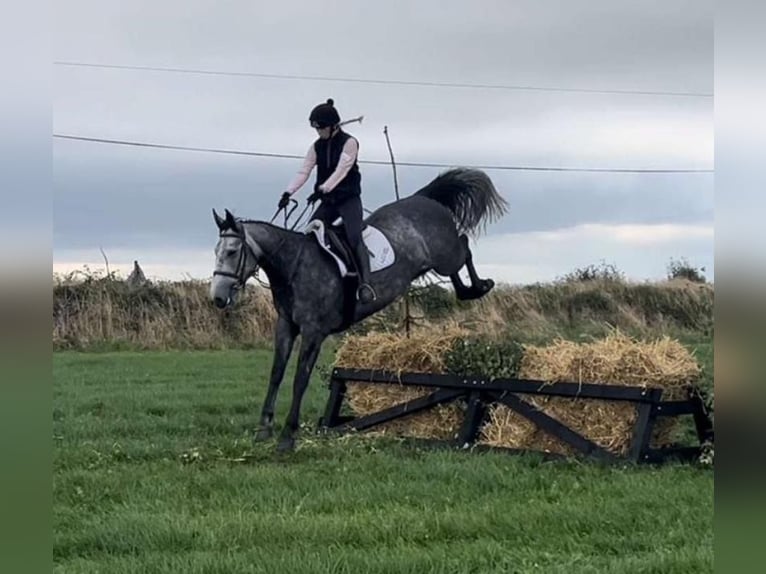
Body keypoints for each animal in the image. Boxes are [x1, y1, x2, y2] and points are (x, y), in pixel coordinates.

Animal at [212, 169, 510, 452]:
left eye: (232, 251)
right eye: (216, 251)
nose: (217, 297)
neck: (294, 266)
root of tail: (423, 198)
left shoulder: (313, 331)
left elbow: (300, 379)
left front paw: (287, 437)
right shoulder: (286, 325)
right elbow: (276, 375)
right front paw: (263, 431)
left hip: (445, 254)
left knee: (465, 245)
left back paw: (479, 287)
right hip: (437, 261)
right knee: (459, 260)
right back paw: (468, 291)